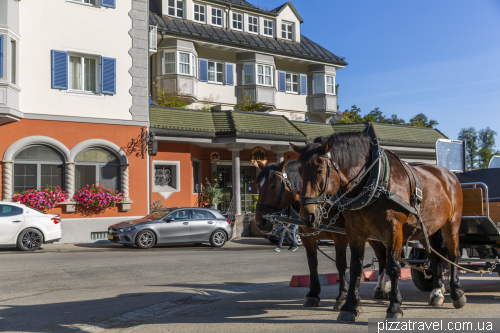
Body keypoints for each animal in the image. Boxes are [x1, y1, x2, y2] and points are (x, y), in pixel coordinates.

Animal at [256, 158, 388, 308]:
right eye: (258, 186)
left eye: (274, 185)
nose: (260, 222)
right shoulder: (307, 237)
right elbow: (312, 264)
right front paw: (313, 295)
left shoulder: (340, 237)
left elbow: (340, 264)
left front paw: (342, 296)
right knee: (383, 257)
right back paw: (381, 288)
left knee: (384, 256)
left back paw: (383, 287)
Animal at [292, 132, 464, 322]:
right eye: (299, 172)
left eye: (320, 170)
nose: (308, 215)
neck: (374, 181)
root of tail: (448, 174)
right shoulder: (355, 232)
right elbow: (355, 268)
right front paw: (349, 306)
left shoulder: (393, 229)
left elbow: (394, 266)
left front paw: (394, 307)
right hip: (427, 229)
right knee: (434, 258)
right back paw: (436, 293)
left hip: (452, 223)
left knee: (453, 255)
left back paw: (456, 293)